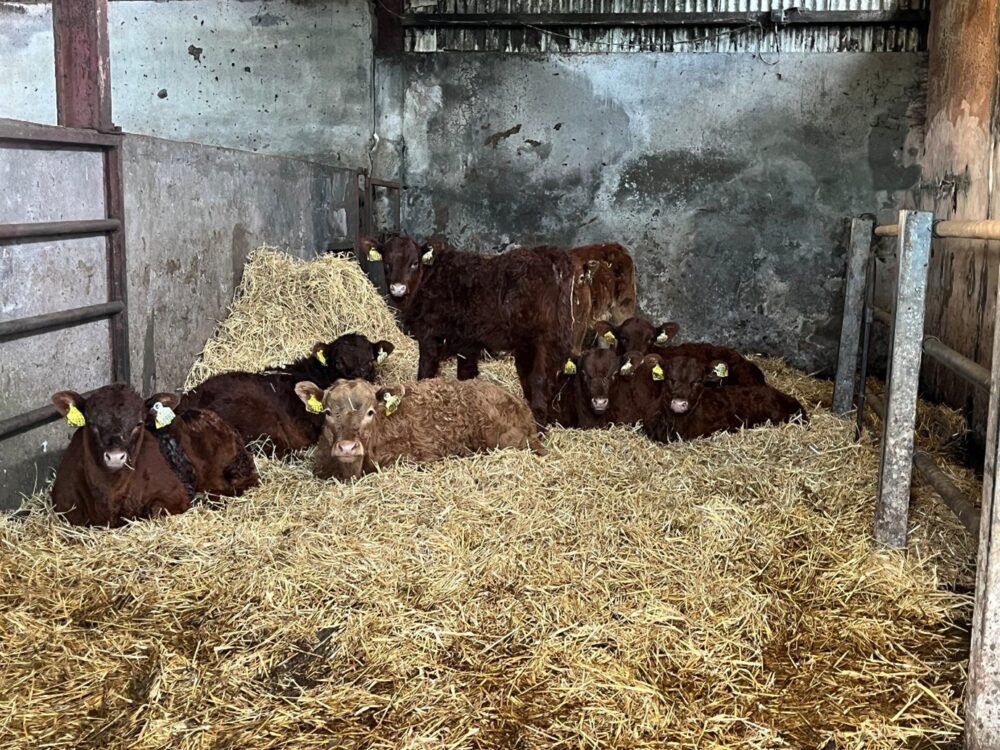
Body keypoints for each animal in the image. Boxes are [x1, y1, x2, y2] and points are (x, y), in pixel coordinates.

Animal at [363, 233, 593, 424]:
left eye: (414, 263)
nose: (397, 288)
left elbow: (425, 372)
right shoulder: (468, 341)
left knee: (538, 379)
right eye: (387, 263)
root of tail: (552, 256)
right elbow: (467, 375)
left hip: (538, 341)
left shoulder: (431, 336)